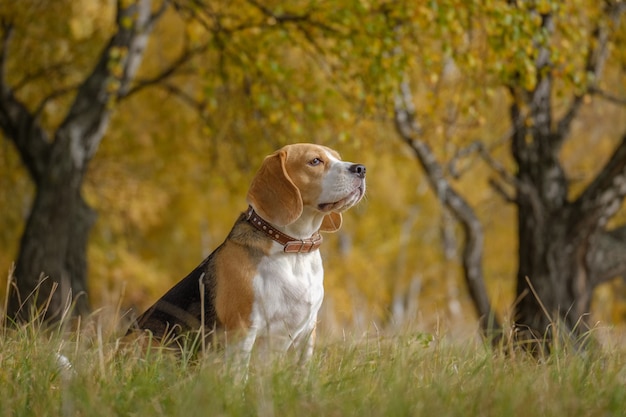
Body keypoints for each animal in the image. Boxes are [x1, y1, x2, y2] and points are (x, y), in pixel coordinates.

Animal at [129, 143, 364, 358]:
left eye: (337, 157)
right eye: (315, 161)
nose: (361, 168)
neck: (294, 249)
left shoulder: (307, 333)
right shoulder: (243, 330)